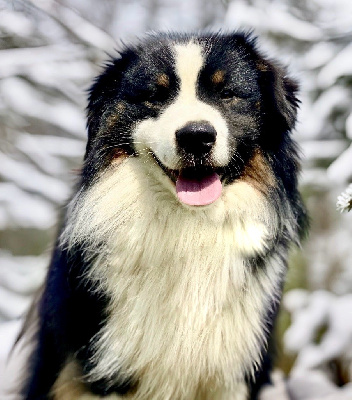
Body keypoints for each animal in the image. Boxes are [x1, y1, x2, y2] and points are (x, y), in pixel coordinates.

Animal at [20, 32, 306, 400]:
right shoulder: (102, 367)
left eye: (227, 93)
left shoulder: (232, 372)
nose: (196, 137)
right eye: (155, 96)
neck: (187, 226)